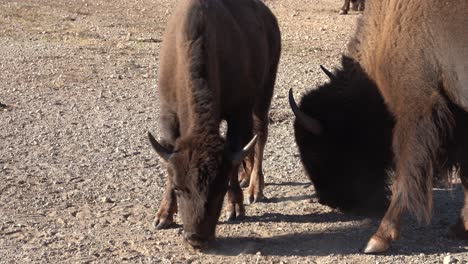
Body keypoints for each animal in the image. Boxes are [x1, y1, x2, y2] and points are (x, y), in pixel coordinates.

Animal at [148, 0, 280, 250]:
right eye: (179, 189)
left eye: (220, 189)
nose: (197, 238)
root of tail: (267, 16)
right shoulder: (168, 114)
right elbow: (169, 162)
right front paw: (164, 215)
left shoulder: (239, 110)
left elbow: (236, 149)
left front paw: (235, 206)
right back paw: (246, 176)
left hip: (264, 91)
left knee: (260, 134)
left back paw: (255, 187)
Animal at [290, 0, 466, 254]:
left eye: (316, 151)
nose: (327, 200)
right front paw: (460, 228)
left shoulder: (416, 110)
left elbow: (405, 175)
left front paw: (379, 239)